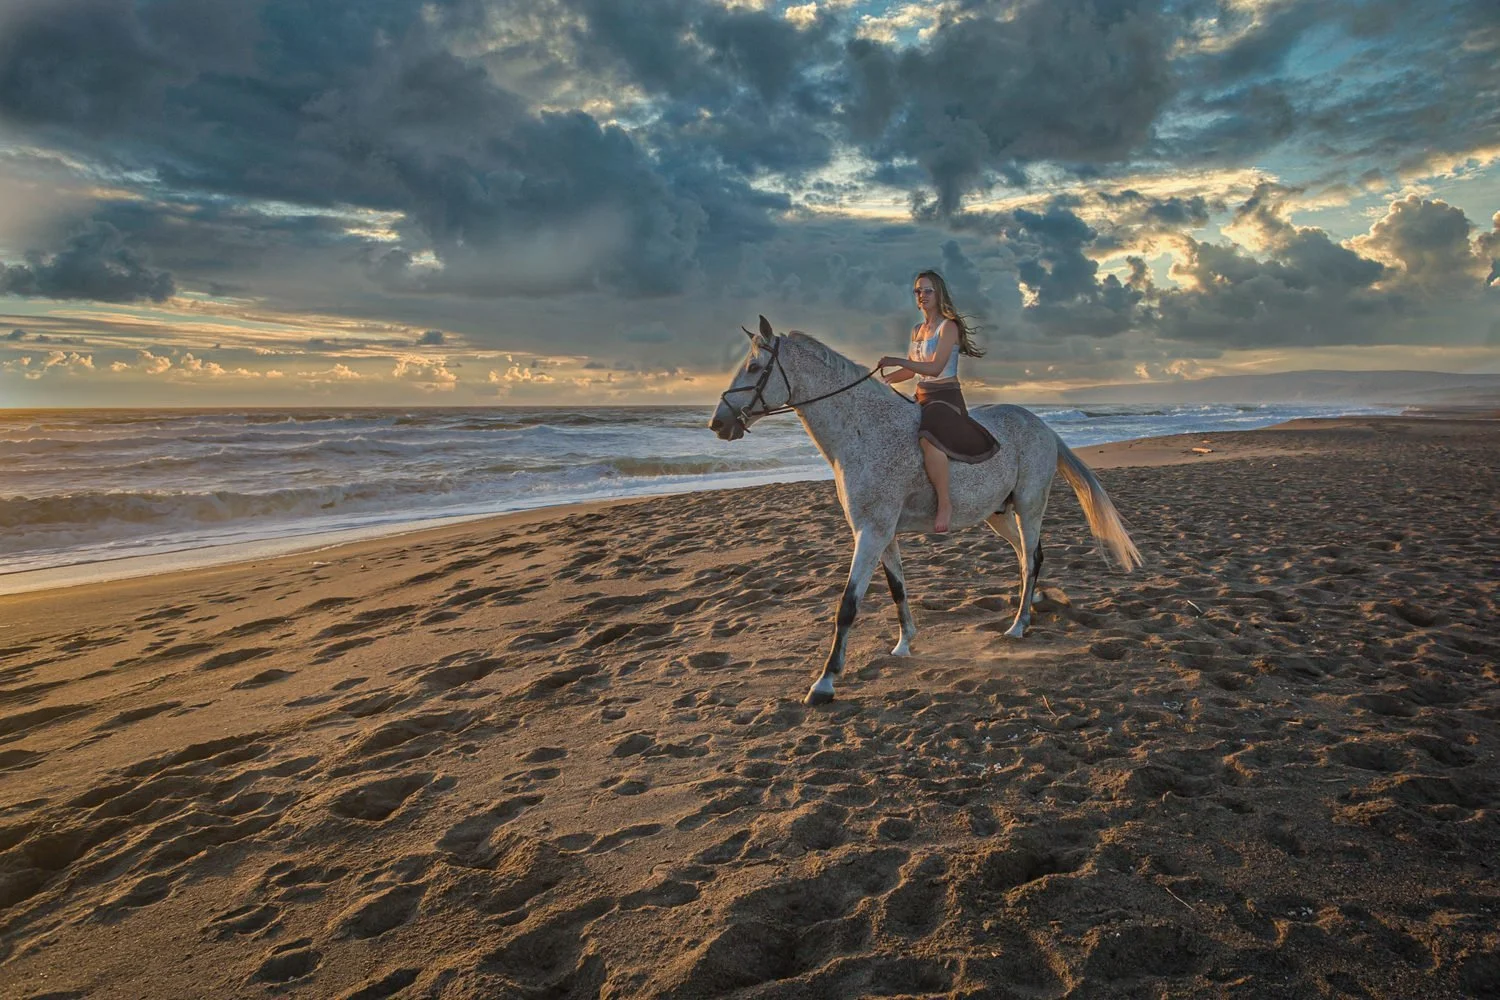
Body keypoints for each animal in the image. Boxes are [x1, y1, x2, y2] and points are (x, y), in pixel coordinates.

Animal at [708, 316, 1142, 706]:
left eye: (754, 367)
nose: (717, 423)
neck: (863, 432)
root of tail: (1044, 427)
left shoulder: (872, 533)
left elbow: (847, 606)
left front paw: (825, 682)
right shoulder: (880, 534)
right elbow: (897, 589)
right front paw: (904, 644)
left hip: (1029, 506)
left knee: (1032, 557)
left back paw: (1019, 626)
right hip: (998, 514)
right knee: (1025, 556)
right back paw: (1033, 604)